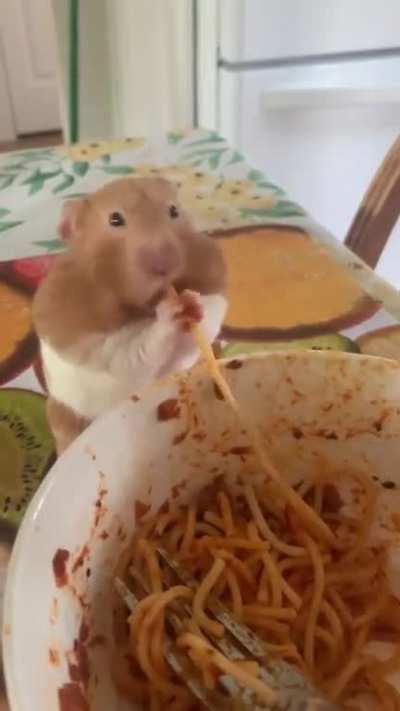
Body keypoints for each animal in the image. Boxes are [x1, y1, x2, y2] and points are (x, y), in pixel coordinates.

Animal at [33, 177, 227, 454]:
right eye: (115, 219)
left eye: (174, 211)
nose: (165, 264)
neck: (145, 306)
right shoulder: (103, 347)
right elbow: (137, 350)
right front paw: (172, 312)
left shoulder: (214, 304)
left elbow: (206, 322)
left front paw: (193, 302)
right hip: (63, 415)